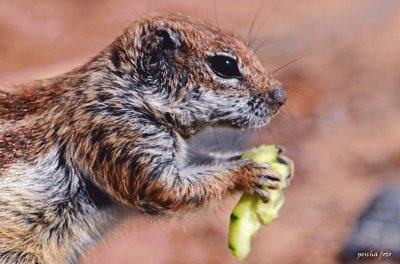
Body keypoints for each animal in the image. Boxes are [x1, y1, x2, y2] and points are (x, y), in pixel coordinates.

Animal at [0, 14, 288, 264]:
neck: (120, 92)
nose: (281, 96)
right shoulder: (119, 137)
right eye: (225, 65)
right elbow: (168, 189)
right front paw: (248, 173)